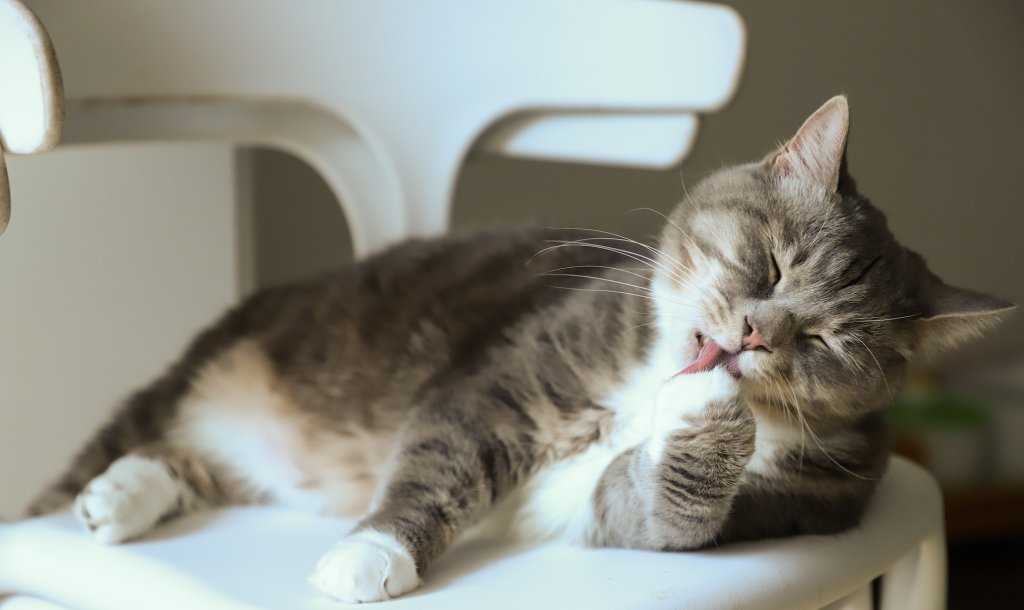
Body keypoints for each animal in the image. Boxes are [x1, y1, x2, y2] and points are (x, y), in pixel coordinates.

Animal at [25, 97, 1015, 601]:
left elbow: (662, 507)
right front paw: (370, 556)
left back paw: (122, 496)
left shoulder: (756, 504)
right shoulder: (509, 377)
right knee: (117, 449)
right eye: (771, 264)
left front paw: (706, 417)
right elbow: (444, 460)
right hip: (204, 370)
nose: (750, 338)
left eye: (824, 341)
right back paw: (98, 494)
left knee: (188, 461)